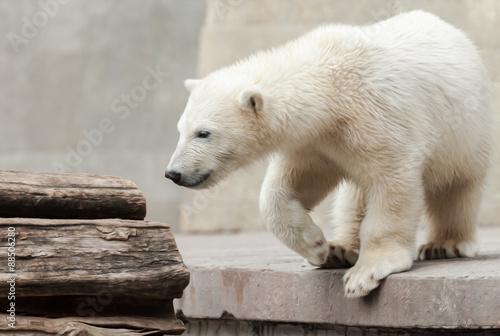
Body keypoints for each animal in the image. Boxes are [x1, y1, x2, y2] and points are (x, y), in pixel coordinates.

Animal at [165, 10, 492, 298]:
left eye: (203, 133)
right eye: (180, 129)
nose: (173, 173)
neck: (331, 89)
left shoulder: (376, 118)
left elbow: (393, 181)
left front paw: (365, 274)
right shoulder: (315, 142)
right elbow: (290, 186)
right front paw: (317, 246)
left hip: (464, 132)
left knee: (458, 185)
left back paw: (445, 244)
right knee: (353, 199)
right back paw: (341, 249)